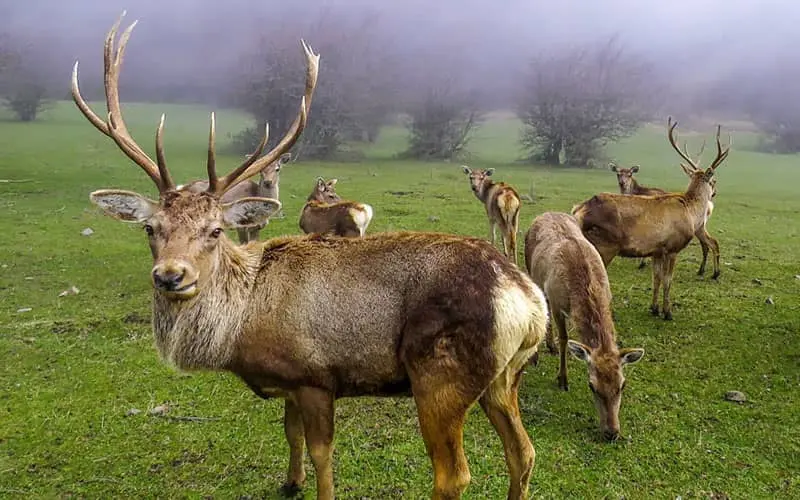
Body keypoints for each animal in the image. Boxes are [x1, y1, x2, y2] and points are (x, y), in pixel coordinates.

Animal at [73, 12, 552, 500]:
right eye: (150, 228)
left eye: (215, 230)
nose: (171, 275)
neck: (243, 330)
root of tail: (529, 301)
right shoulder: (289, 383)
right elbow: (291, 433)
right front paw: (290, 481)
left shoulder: (314, 376)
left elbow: (323, 452)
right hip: (503, 377)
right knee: (523, 452)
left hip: (441, 376)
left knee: (453, 475)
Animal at [524, 213, 644, 440]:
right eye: (592, 386)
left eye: (622, 385)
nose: (612, 432)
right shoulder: (557, 302)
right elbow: (564, 339)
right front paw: (562, 379)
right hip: (532, 273)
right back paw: (537, 355)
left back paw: (550, 345)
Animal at [568, 118, 732, 320]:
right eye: (713, 181)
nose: (715, 193)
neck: (690, 211)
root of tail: (578, 210)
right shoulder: (672, 247)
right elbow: (668, 280)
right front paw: (668, 312)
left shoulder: (656, 250)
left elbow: (656, 278)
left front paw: (654, 308)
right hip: (603, 245)